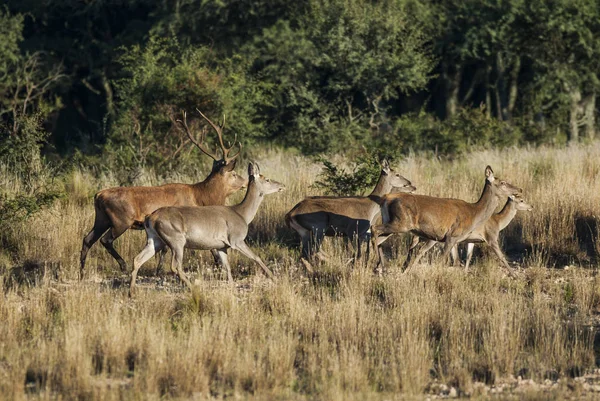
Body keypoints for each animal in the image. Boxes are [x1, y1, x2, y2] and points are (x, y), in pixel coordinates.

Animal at [80, 109, 246, 278]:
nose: (246, 181)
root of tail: (98, 195)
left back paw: (81, 272)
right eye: (233, 173)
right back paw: (123, 265)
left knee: (87, 239)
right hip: (121, 220)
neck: (201, 197)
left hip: (102, 219)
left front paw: (159, 269)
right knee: (105, 240)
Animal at [130, 161, 284, 296]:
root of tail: (150, 217)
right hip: (176, 240)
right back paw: (192, 287)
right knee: (175, 266)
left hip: (155, 240)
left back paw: (131, 291)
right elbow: (256, 257)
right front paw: (274, 278)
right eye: (267, 179)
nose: (282, 185)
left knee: (138, 259)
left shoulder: (222, 246)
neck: (242, 214)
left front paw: (232, 287)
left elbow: (227, 267)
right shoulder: (236, 240)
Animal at [284, 159, 414, 268]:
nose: (411, 184)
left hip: (305, 232)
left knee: (304, 254)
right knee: (313, 251)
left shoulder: (362, 234)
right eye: (397, 174)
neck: (371, 208)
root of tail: (289, 214)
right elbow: (358, 254)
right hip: (319, 227)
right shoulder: (352, 231)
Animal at [372, 164, 524, 274]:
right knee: (374, 229)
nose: (519, 190)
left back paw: (380, 266)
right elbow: (442, 260)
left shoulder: (454, 239)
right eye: (503, 182)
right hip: (401, 223)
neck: (474, 213)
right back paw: (376, 264)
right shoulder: (452, 235)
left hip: (393, 223)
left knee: (378, 238)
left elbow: (456, 261)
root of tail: (386, 199)